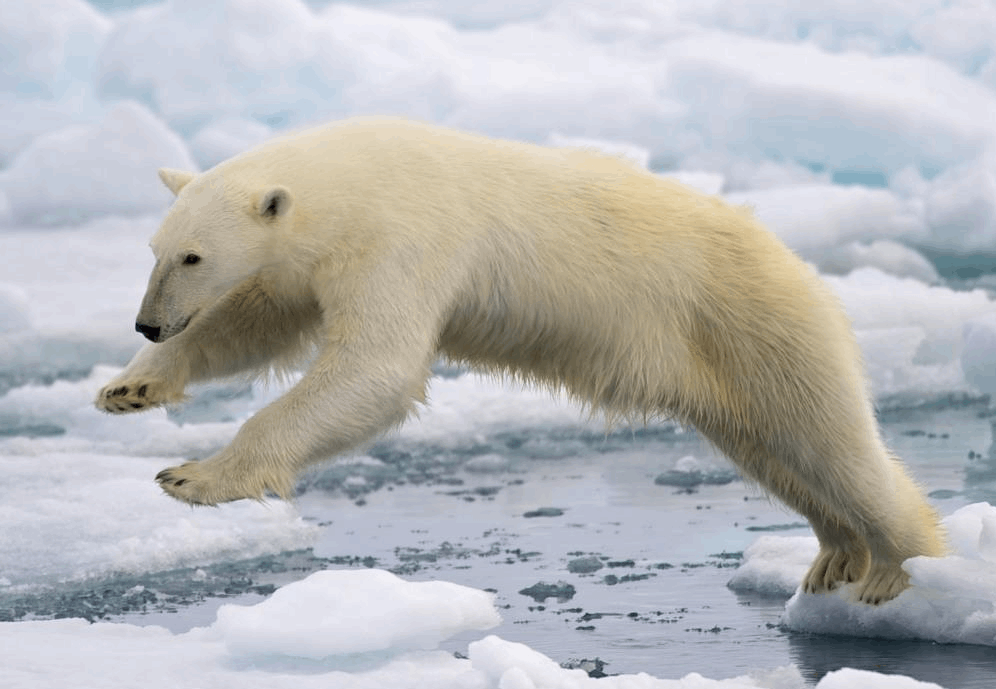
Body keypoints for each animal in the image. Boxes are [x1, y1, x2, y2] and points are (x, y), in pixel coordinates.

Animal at [97, 117, 944, 600]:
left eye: (194, 255)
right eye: (156, 249)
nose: (147, 322)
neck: (353, 179)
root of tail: (798, 264)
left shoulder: (404, 238)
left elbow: (376, 367)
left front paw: (193, 475)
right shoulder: (312, 262)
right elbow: (258, 322)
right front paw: (130, 388)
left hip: (756, 323)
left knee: (831, 442)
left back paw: (897, 567)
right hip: (722, 365)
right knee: (775, 451)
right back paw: (835, 554)